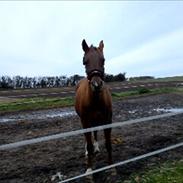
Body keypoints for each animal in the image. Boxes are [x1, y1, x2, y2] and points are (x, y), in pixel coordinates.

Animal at [74, 39, 113, 173]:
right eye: (84, 61)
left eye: (103, 60)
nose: (96, 85)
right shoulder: (85, 121)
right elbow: (89, 142)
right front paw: (90, 169)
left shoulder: (107, 120)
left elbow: (108, 143)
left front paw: (111, 166)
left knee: (94, 132)